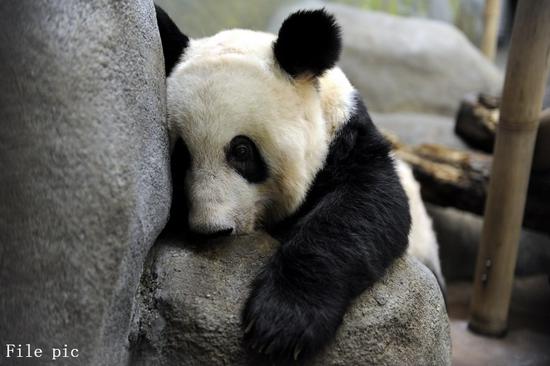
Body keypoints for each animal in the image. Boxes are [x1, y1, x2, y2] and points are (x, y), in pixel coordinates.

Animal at [157, 5, 446, 364]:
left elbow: (365, 207)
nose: (212, 229)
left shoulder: (347, 140)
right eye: (182, 156)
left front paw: (282, 324)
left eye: (242, 151)